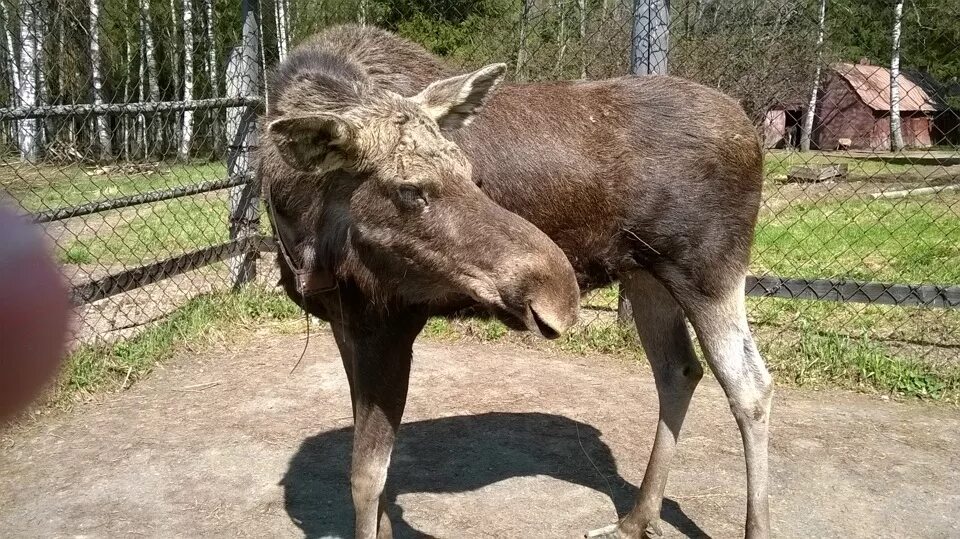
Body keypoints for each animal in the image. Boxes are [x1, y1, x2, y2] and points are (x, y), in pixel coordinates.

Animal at [260, 24, 772, 539]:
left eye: (470, 173)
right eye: (409, 190)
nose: (559, 291)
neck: (303, 225)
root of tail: (752, 132)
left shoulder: (389, 322)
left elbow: (366, 476)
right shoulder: (344, 323)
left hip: (710, 269)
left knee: (750, 385)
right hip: (646, 272)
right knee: (678, 370)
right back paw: (635, 518)